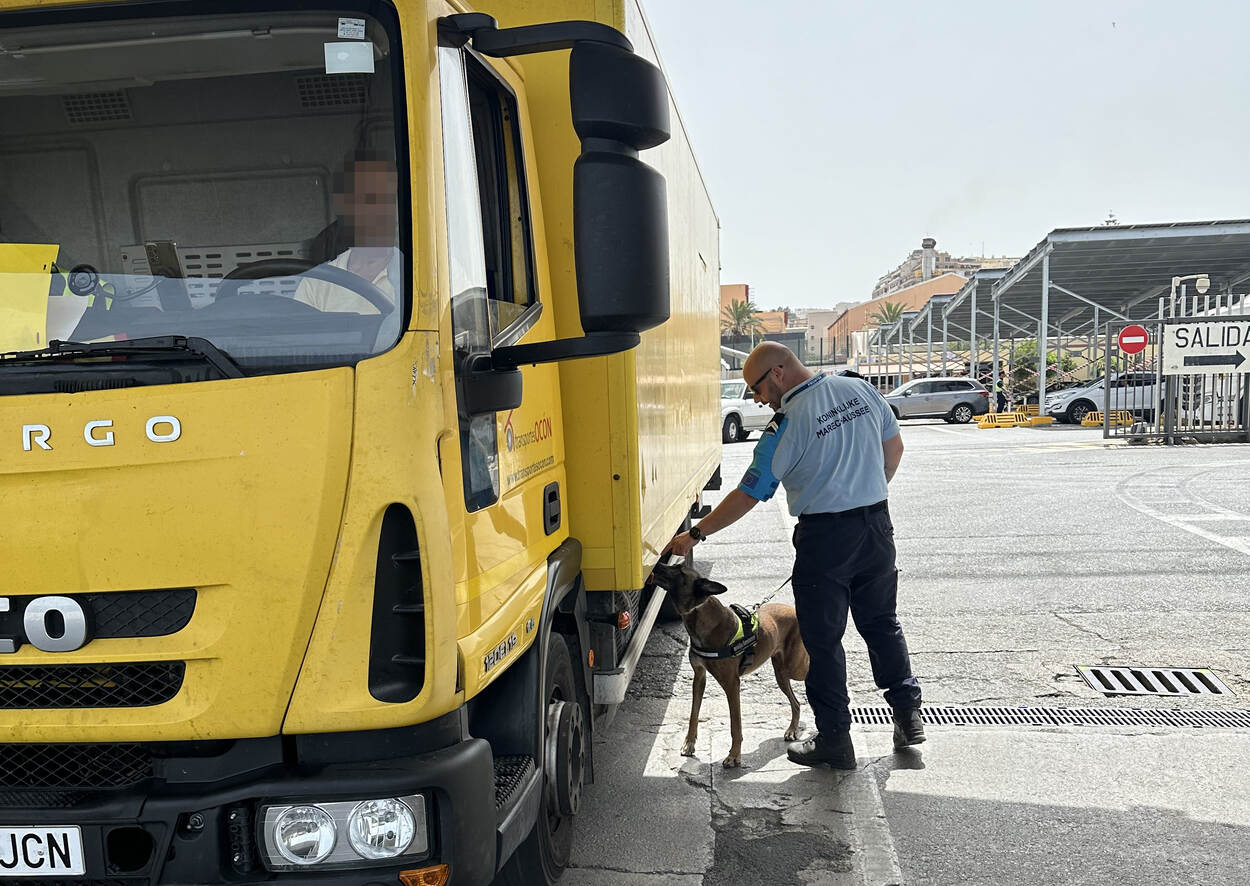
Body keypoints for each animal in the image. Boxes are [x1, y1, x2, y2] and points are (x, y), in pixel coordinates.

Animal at [645, 562, 810, 764]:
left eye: (679, 571)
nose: (657, 564)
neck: (698, 615)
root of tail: (793, 610)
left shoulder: (732, 685)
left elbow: (735, 725)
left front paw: (733, 755)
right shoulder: (699, 677)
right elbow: (694, 714)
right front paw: (689, 743)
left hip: (793, 667)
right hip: (781, 673)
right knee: (796, 703)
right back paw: (792, 729)